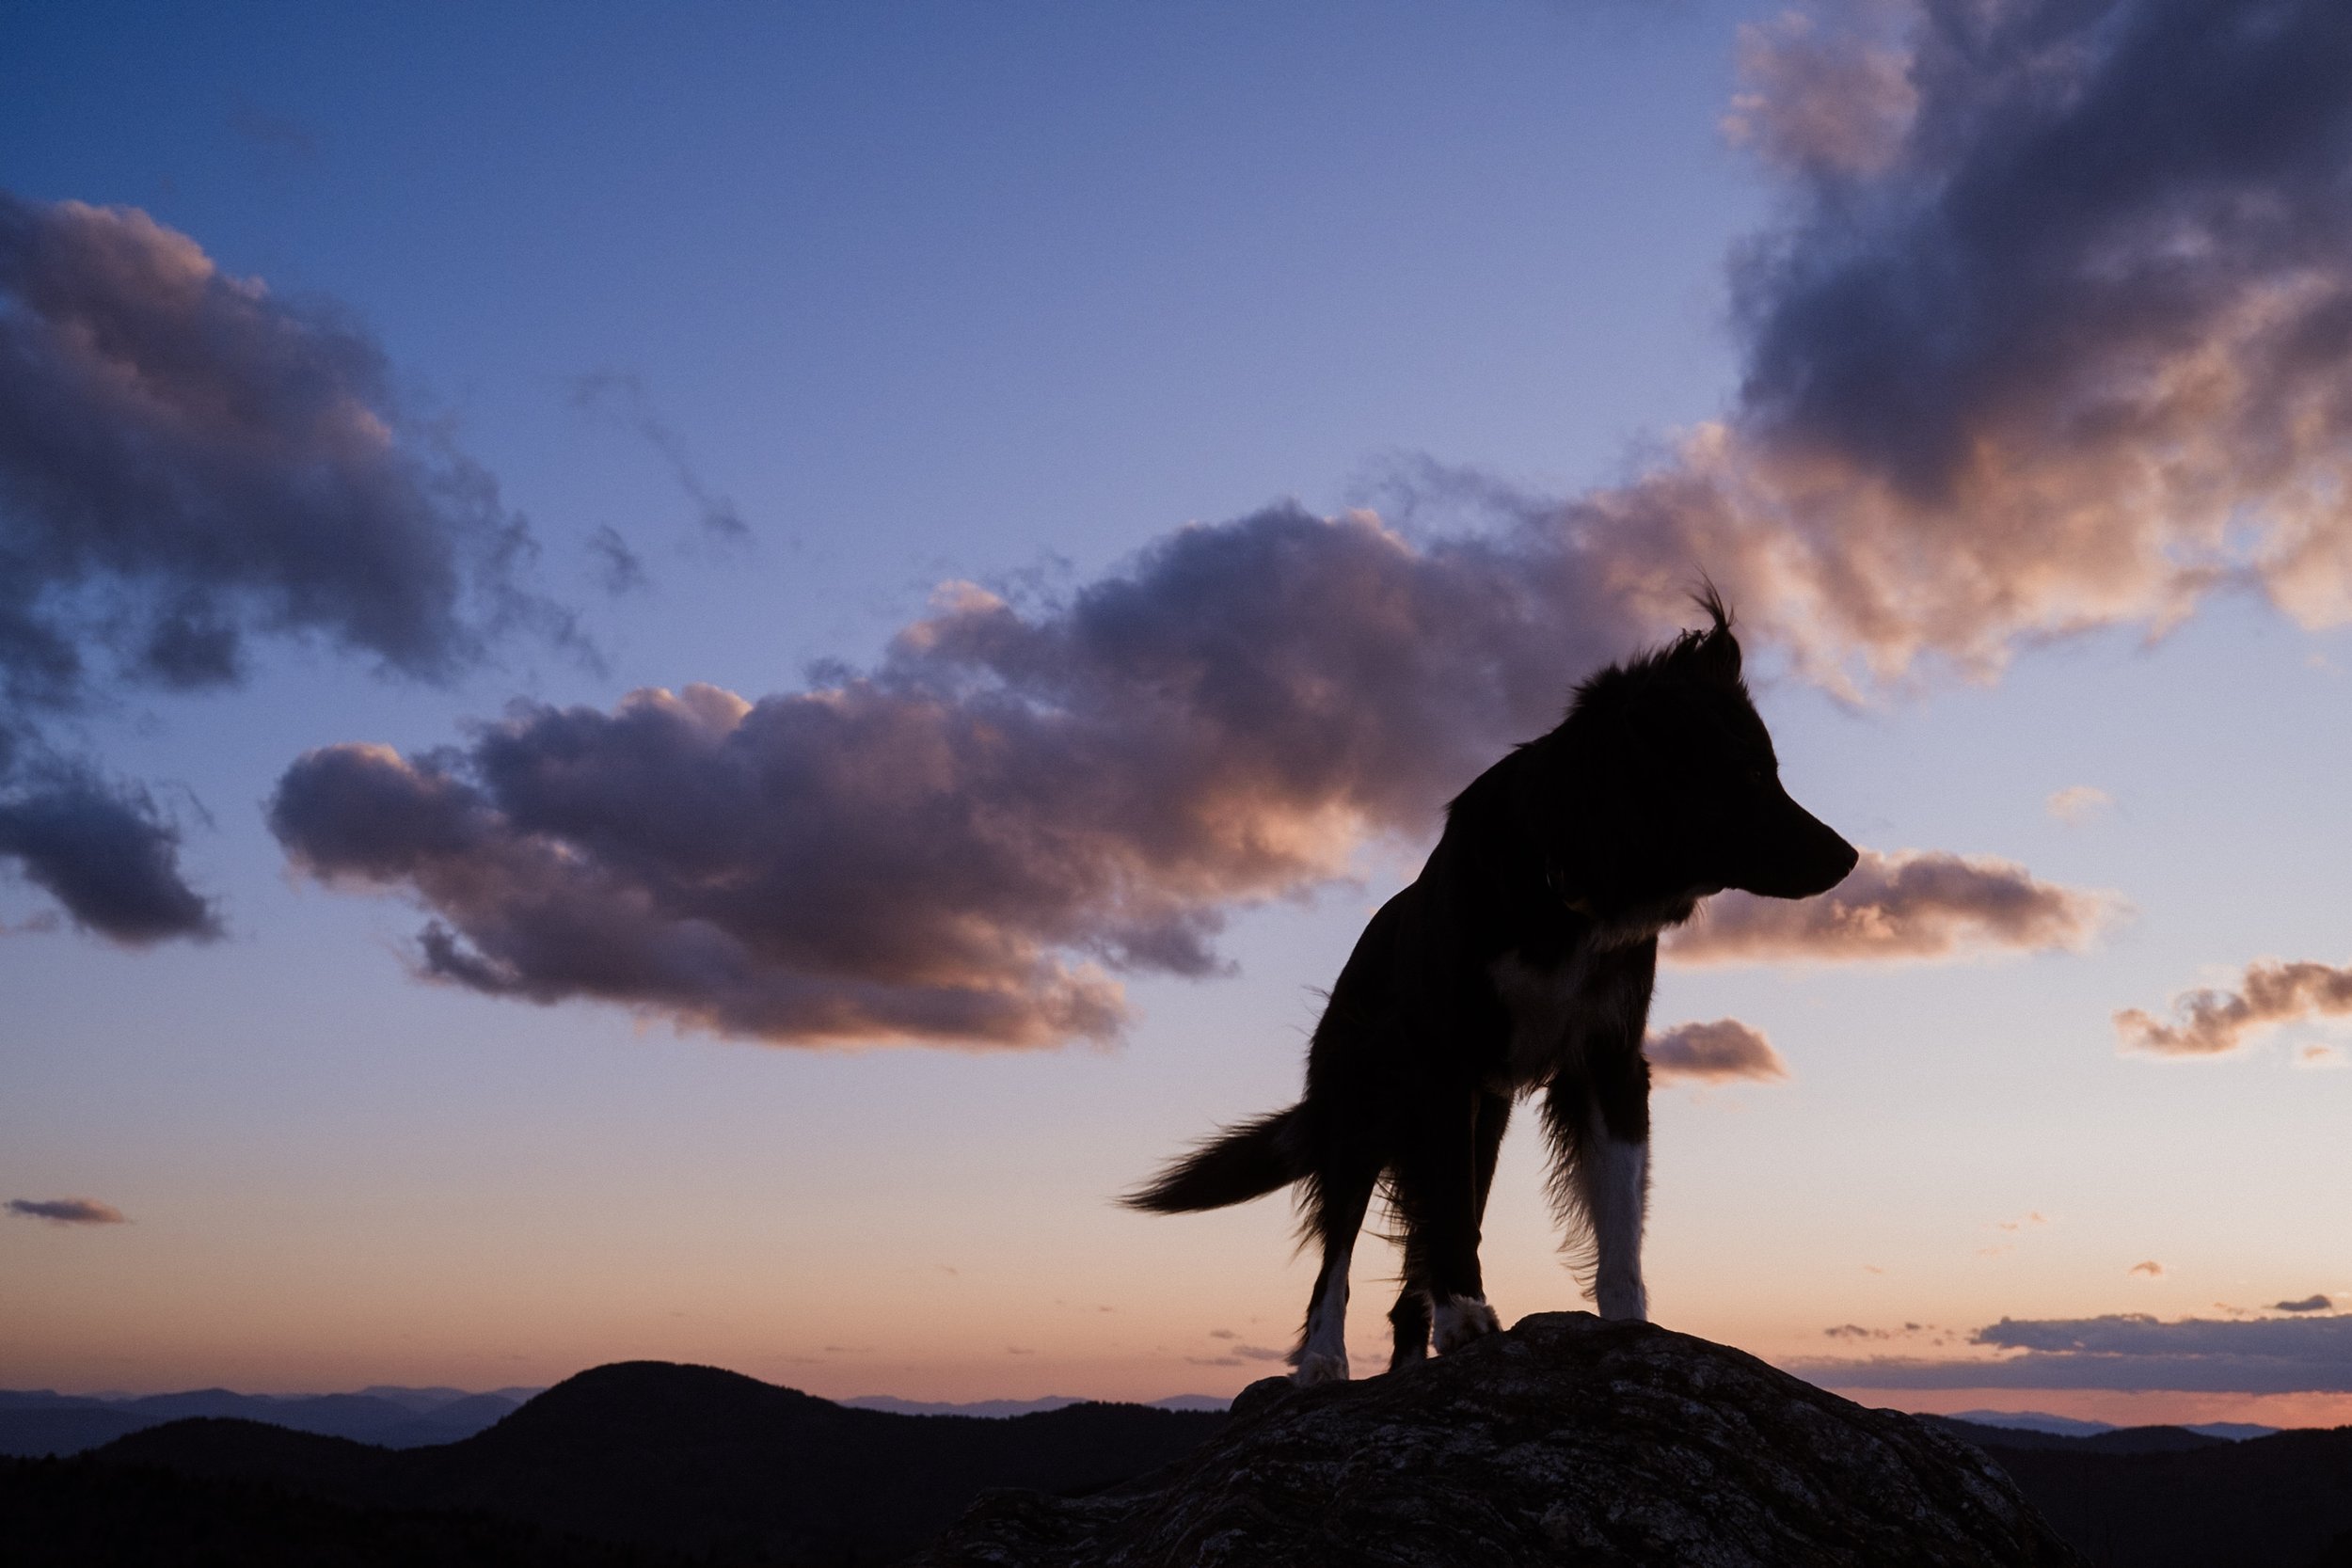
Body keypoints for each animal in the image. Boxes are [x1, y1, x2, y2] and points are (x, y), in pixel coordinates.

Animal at [1120, 596, 1853, 1382]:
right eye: (1747, 774)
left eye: (1771, 770)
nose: (1847, 857)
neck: (1567, 885)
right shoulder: (1443, 1064)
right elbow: (1441, 1215)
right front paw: (1465, 1316)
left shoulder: (1610, 1061)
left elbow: (1618, 1217)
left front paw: (1630, 1328)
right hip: (1361, 1109)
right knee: (1338, 1253)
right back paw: (1322, 1358)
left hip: (1484, 1122)